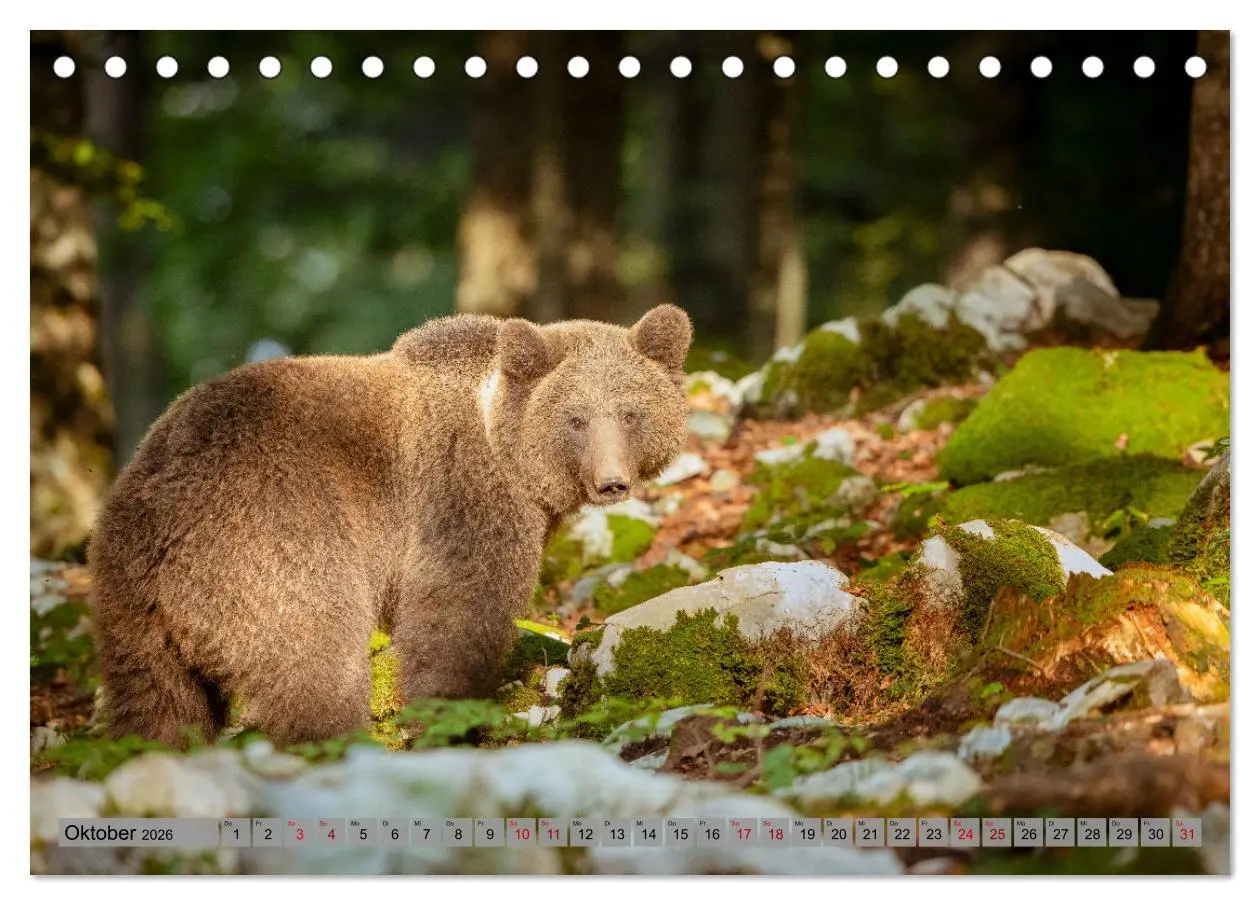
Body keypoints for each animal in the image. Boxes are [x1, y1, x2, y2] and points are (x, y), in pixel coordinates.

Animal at [88, 304, 693, 747]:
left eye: (631, 412)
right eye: (576, 418)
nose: (612, 482)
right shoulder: (461, 497)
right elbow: (456, 615)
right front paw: (447, 718)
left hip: (130, 606)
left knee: (158, 705)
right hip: (272, 547)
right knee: (316, 664)